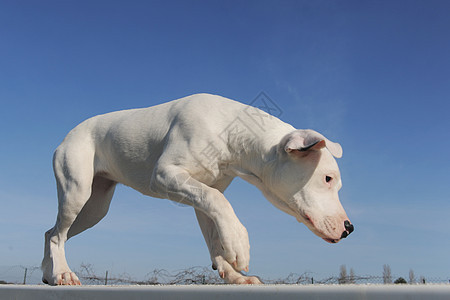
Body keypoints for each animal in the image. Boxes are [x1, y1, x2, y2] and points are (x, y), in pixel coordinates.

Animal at [41, 94, 352, 286]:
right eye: (327, 178)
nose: (349, 228)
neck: (234, 133)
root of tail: (67, 136)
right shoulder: (165, 175)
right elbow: (220, 204)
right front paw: (240, 244)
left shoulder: (201, 194)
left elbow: (215, 230)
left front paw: (233, 274)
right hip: (77, 193)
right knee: (58, 235)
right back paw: (64, 274)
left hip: (95, 209)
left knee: (52, 232)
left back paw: (50, 273)